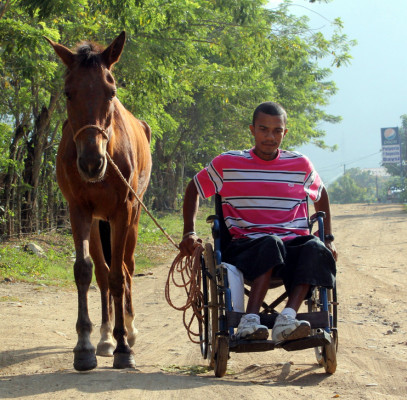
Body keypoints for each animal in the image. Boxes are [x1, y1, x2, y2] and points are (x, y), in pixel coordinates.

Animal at [45, 32, 153, 372]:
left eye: (111, 91)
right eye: (68, 93)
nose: (92, 163)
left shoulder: (123, 212)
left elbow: (119, 275)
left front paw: (124, 348)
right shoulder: (78, 211)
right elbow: (86, 271)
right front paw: (85, 347)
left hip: (133, 218)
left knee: (127, 268)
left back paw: (128, 329)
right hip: (96, 223)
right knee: (103, 273)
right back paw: (105, 337)